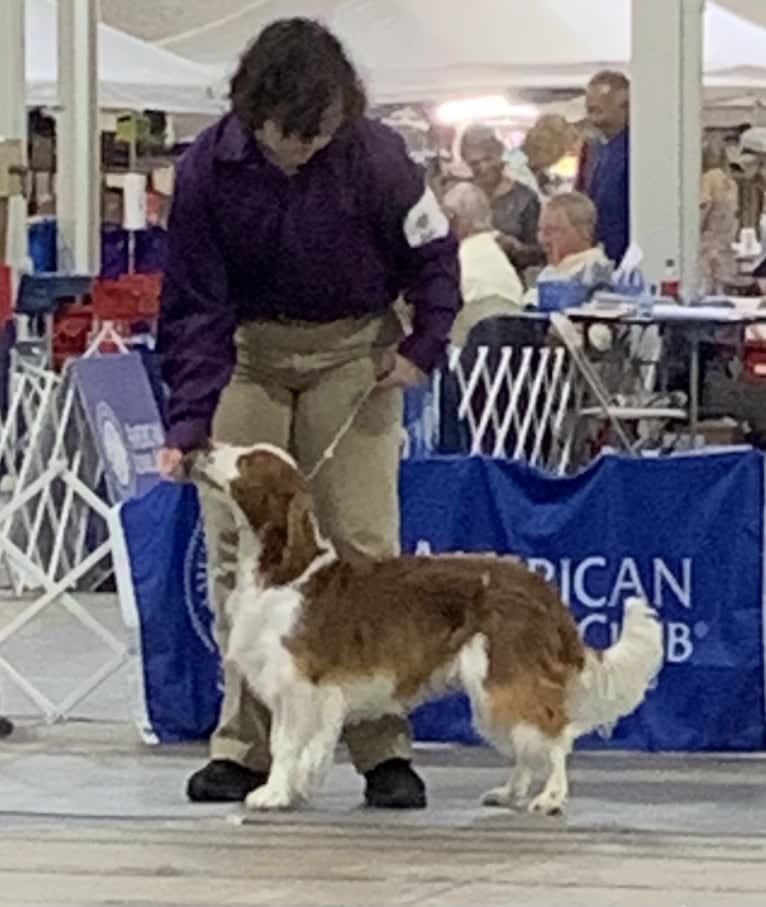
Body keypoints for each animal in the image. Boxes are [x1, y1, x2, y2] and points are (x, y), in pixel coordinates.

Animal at [189, 446, 664, 816]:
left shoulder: (301, 685)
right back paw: (510, 792)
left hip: (503, 675)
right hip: (494, 687)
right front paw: (292, 789)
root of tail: (544, 590)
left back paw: (550, 797)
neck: (283, 570)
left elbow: (285, 745)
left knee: (554, 733)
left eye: (249, 461)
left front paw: (273, 793)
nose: (204, 447)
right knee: (528, 740)